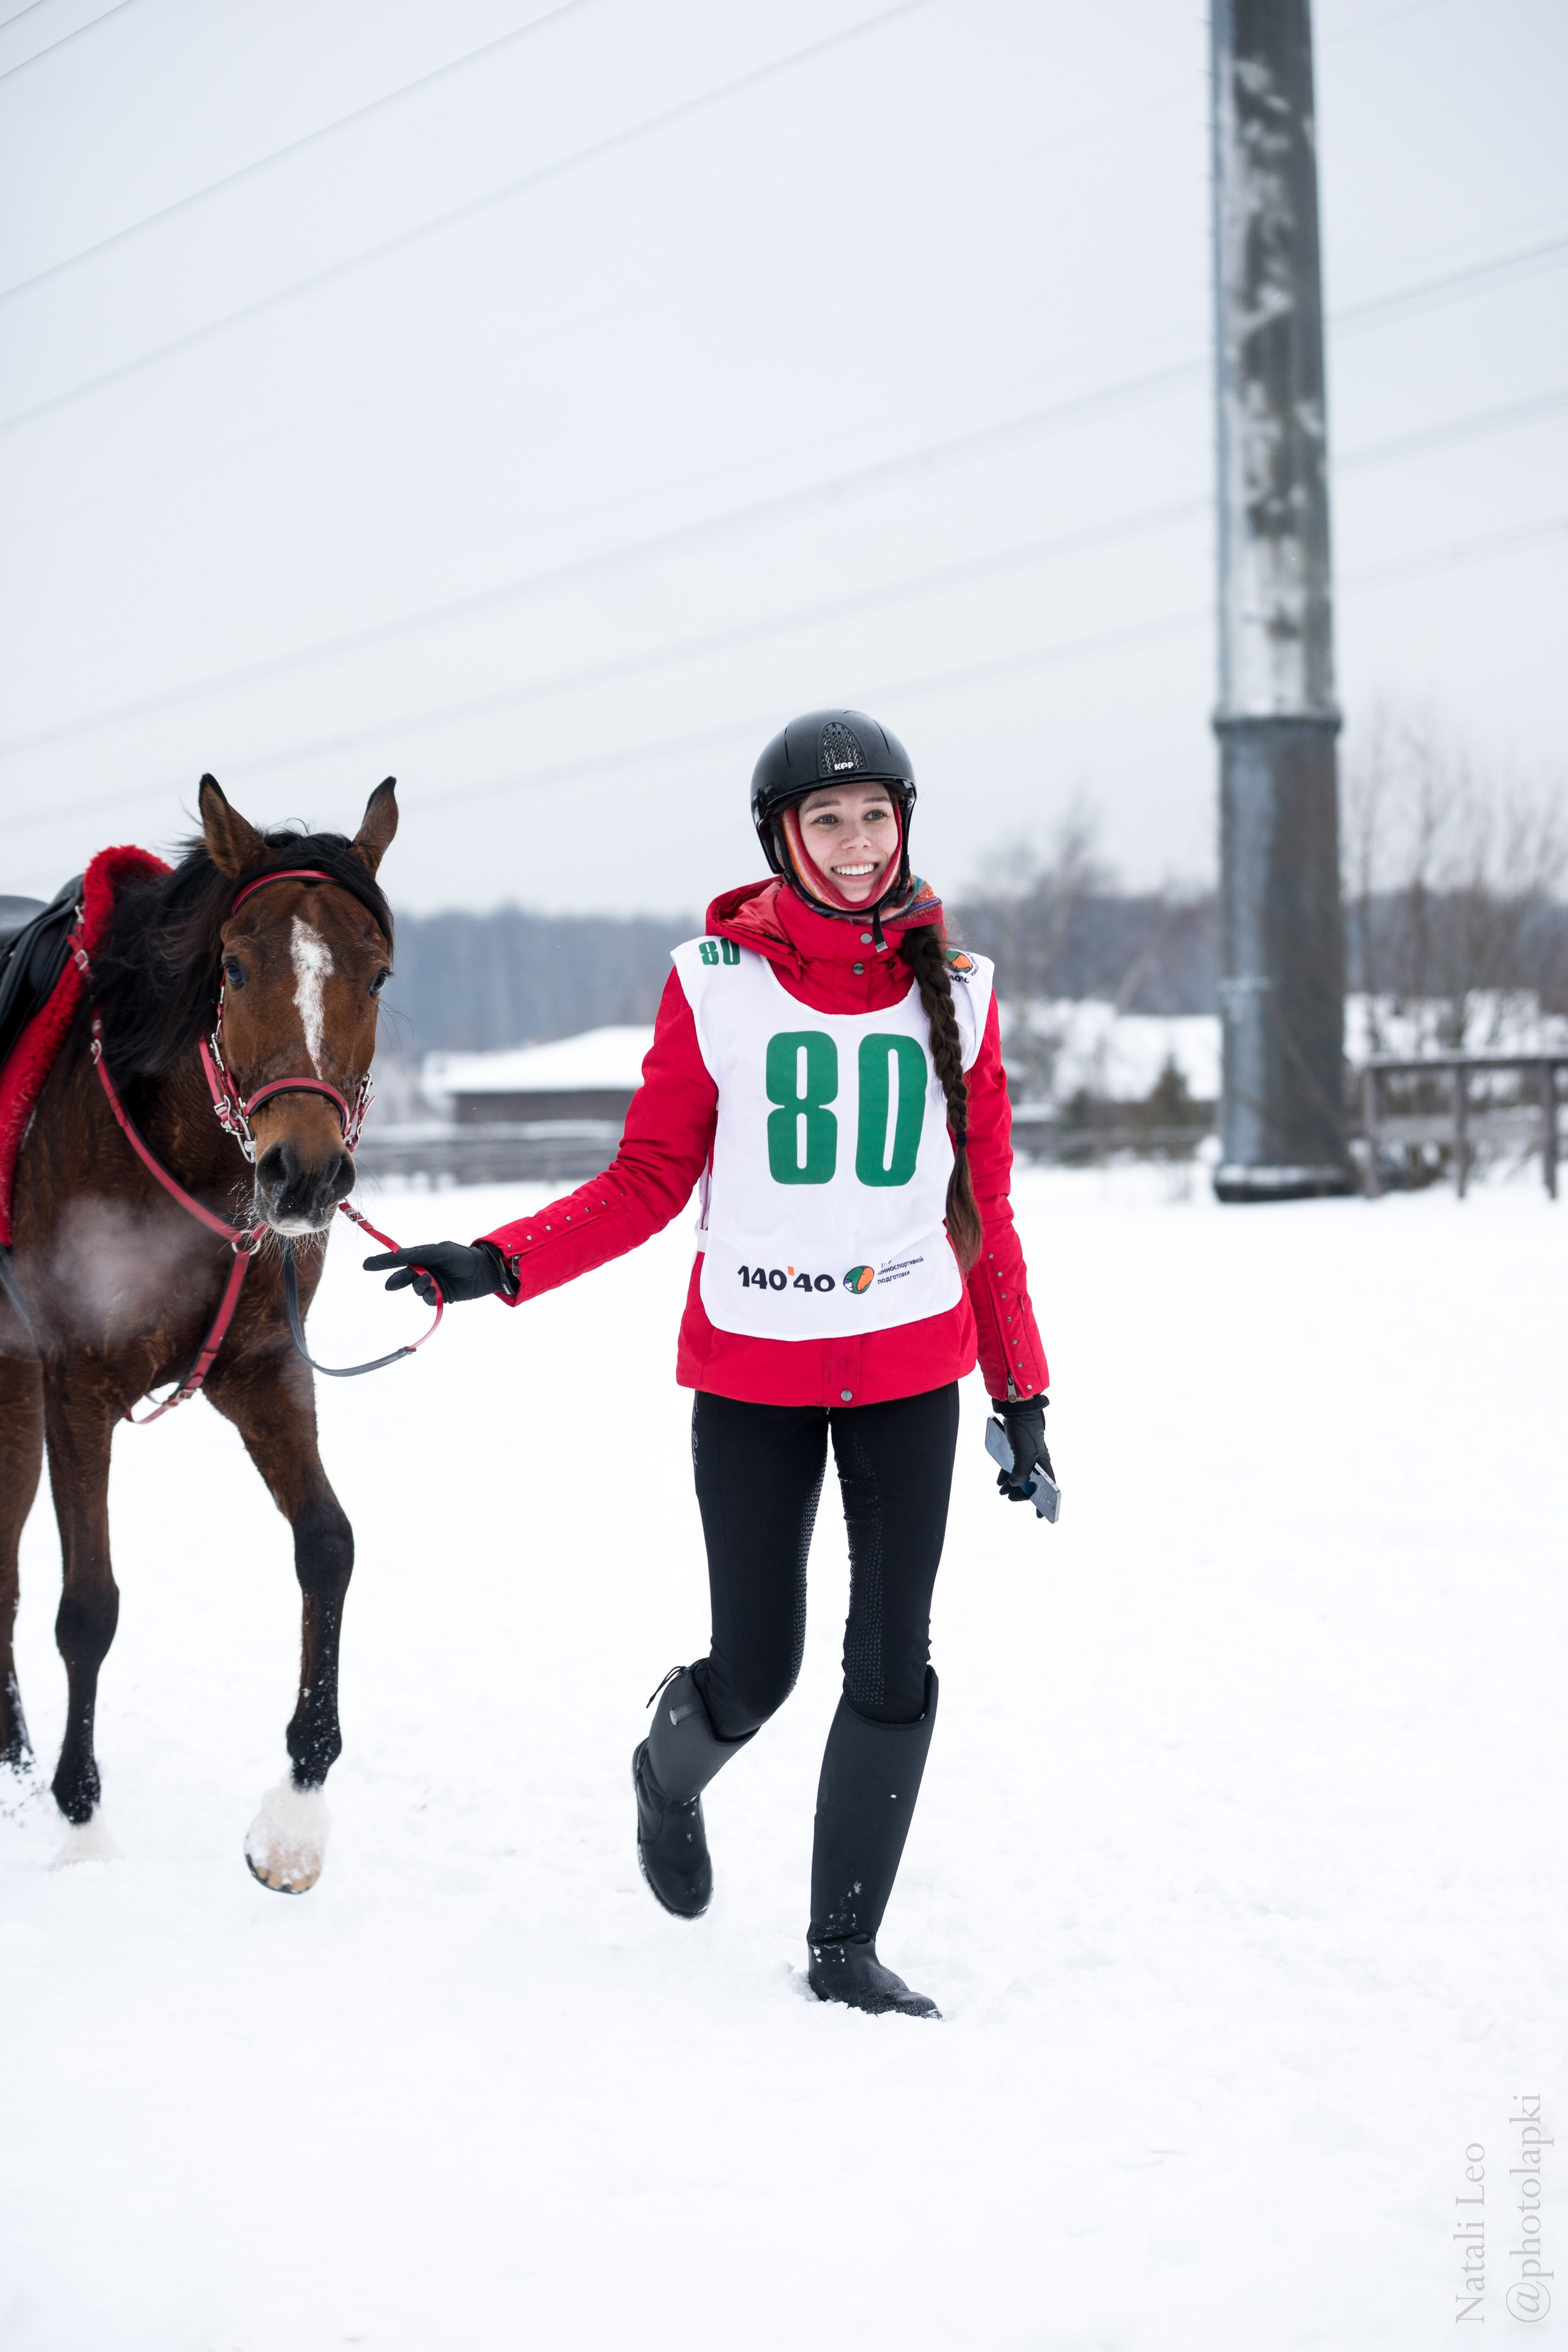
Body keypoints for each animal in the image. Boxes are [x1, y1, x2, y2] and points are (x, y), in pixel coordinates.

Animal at [0, 775, 399, 1891]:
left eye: (377, 974)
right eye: (234, 965)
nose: (304, 1174)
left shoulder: (262, 1372)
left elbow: (329, 1547)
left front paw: (297, 1813)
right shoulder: (76, 1388)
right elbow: (88, 1608)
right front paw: (82, 1825)